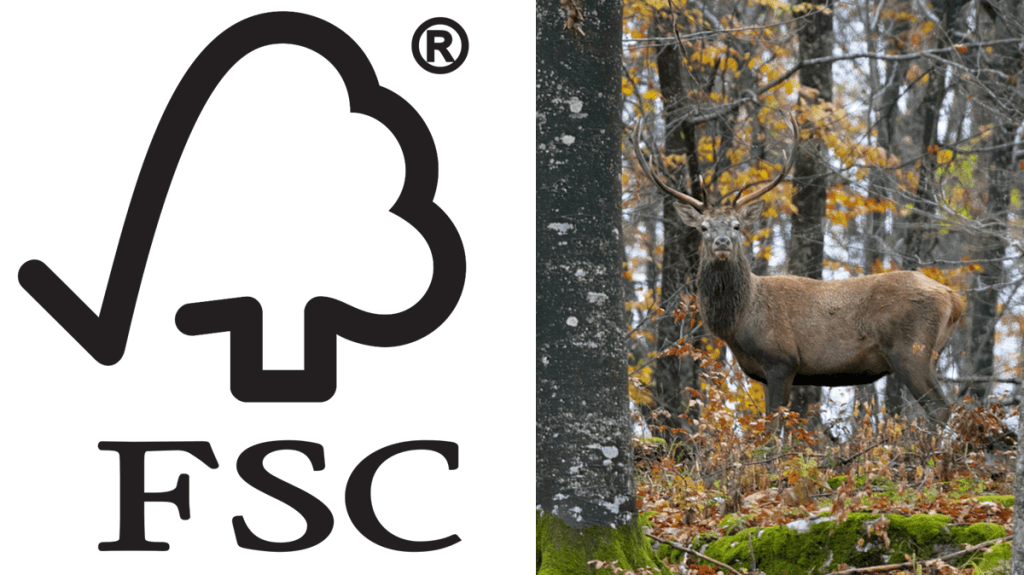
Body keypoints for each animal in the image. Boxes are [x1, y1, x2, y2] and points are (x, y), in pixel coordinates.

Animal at [632, 117, 963, 424]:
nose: (722, 242)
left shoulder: (782, 360)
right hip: (930, 352)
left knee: (941, 410)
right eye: (704, 227)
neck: (742, 318)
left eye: (737, 226)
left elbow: (773, 428)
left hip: (911, 350)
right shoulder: (765, 372)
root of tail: (953, 298)